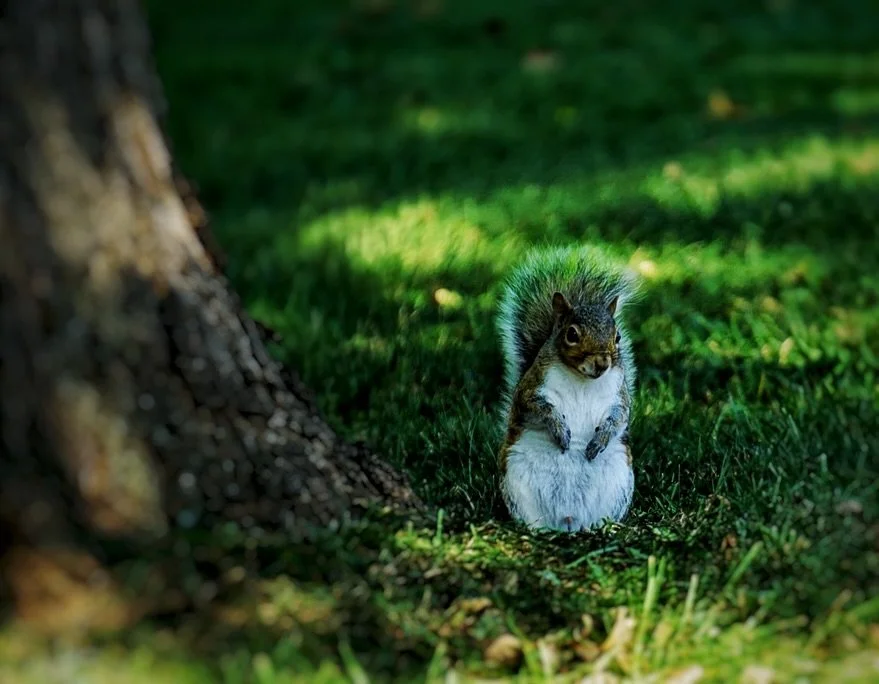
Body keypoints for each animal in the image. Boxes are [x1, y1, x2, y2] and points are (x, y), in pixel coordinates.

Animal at [495, 245, 640, 533]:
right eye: (572, 335)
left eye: (617, 337)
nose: (602, 363)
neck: (582, 380)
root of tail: (569, 520)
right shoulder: (531, 390)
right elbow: (539, 407)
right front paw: (560, 430)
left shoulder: (619, 396)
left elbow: (619, 417)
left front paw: (600, 439)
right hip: (515, 478)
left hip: (619, 482)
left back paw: (605, 527)